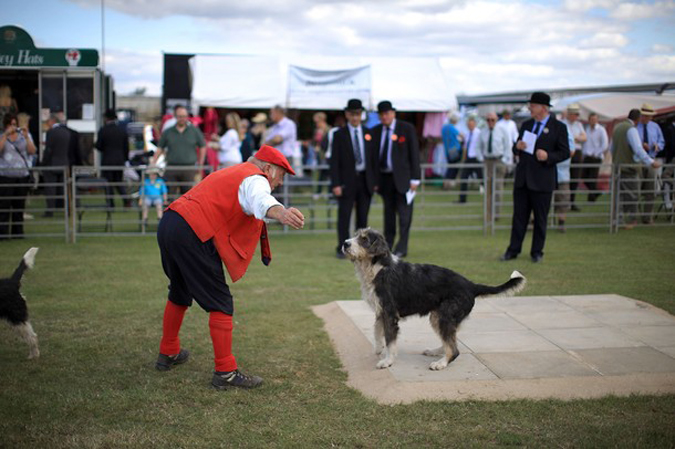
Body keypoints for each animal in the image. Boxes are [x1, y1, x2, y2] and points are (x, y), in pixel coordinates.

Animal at [344, 229, 528, 370]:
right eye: (356, 235)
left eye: (364, 239)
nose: (345, 243)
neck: (378, 268)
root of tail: (471, 285)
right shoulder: (380, 311)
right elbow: (377, 331)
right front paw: (377, 349)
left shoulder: (390, 314)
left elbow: (390, 340)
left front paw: (387, 361)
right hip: (439, 316)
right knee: (450, 340)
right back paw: (436, 351)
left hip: (444, 316)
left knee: (454, 349)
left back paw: (440, 364)